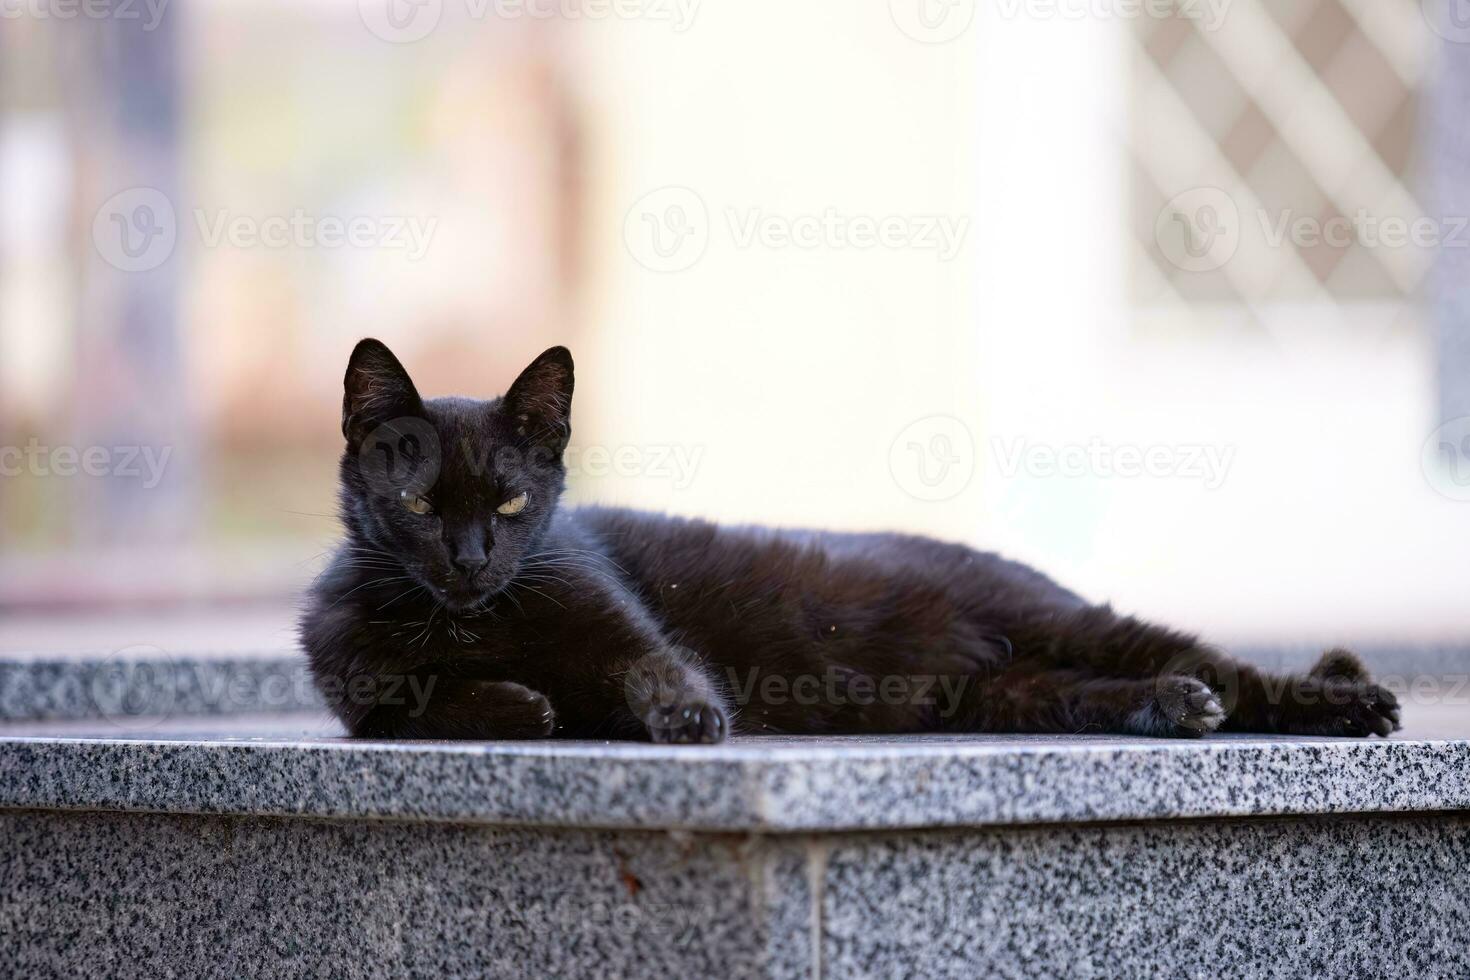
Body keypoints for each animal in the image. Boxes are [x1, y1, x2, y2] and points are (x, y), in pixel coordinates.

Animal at [295, 339, 1399, 743]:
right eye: (422, 506)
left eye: (516, 503)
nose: (470, 559)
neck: (480, 624)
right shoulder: (360, 686)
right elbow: (413, 704)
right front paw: (519, 704)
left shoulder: (615, 618)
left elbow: (650, 662)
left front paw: (690, 717)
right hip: (1005, 693)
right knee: (1111, 689)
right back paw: (1174, 708)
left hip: (1068, 619)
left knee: (1224, 663)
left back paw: (1346, 702)